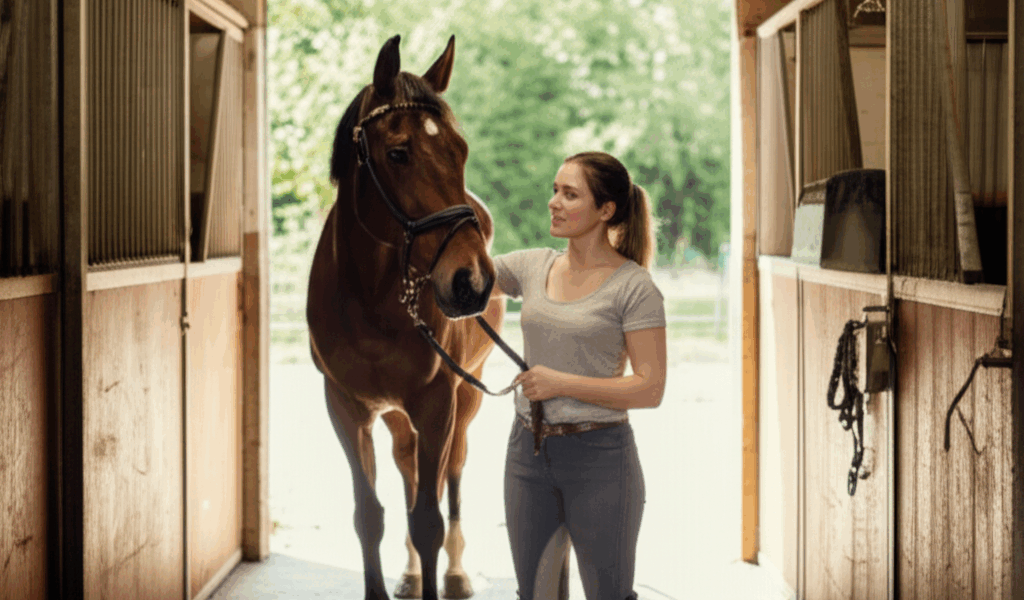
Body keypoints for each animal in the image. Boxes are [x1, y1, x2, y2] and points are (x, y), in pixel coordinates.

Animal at [306, 35, 505, 600]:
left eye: (460, 150)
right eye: (398, 153)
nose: (472, 280)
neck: (371, 301)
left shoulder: (438, 402)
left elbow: (428, 518)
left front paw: (440, 570)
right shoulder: (346, 407)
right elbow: (370, 515)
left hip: (466, 396)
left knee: (451, 472)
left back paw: (455, 574)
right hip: (397, 415)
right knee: (408, 467)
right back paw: (413, 573)